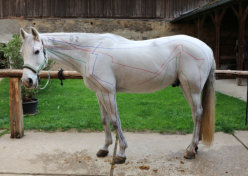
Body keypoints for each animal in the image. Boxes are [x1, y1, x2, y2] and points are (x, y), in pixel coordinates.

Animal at [20, 27, 215, 164]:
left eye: (37, 51)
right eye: (22, 52)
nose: (27, 81)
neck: (90, 51)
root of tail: (207, 48)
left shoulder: (108, 92)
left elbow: (115, 121)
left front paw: (121, 153)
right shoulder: (99, 92)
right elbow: (104, 120)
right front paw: (105, 148)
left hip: (192, 88)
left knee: (198, 113)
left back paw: (190, 150)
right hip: (186, 88)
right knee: (196, 114)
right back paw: (193, 147)